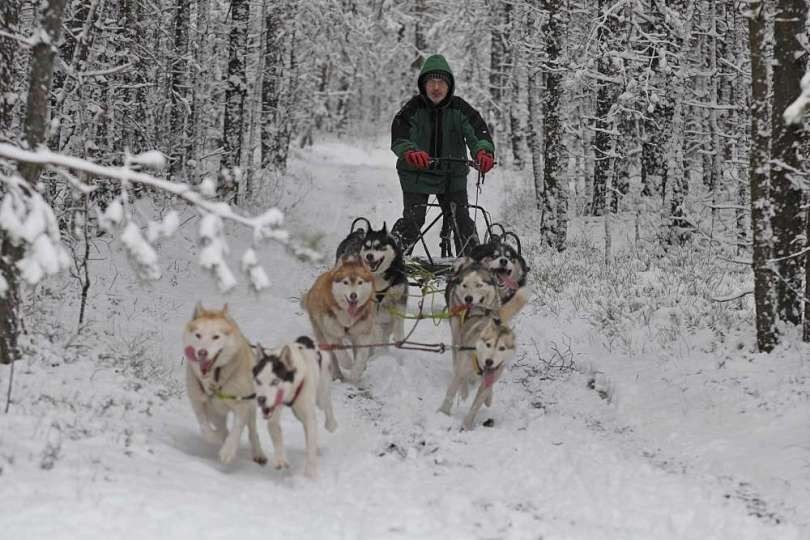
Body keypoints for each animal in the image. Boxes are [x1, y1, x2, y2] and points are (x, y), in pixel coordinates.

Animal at [183, 304, 266, 464]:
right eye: (198, 335)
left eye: (216, 337)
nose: (202, 352)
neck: (216, 378)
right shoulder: (198, 402)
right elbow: (205, 428)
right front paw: (216, 438)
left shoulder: (242, 404)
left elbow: (237, 429)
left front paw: (228, 451)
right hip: (216, 412)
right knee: (221, 426)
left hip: (251, 406)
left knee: (253, 432)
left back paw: (258, 453)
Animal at [251, 336, 336, 478]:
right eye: (258, 381)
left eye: (275, 381)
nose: (261, 399)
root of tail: (307, 340)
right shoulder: (273, 410)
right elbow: (273, 426)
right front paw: (280, 459)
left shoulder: (309, 414)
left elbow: (311, 442)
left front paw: (310, 474)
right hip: (298, 412)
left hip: (320, 395)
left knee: (326, 404)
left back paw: (331, 424)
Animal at [438, 286, 528, 430]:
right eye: (488, 345)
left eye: (502, 348)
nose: (489, 361)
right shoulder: (461, 371)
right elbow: (451, 392)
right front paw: (443, 413)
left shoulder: (488, 380)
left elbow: (476, 405)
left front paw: (467, 425)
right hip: (457, 343)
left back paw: (488, 397)